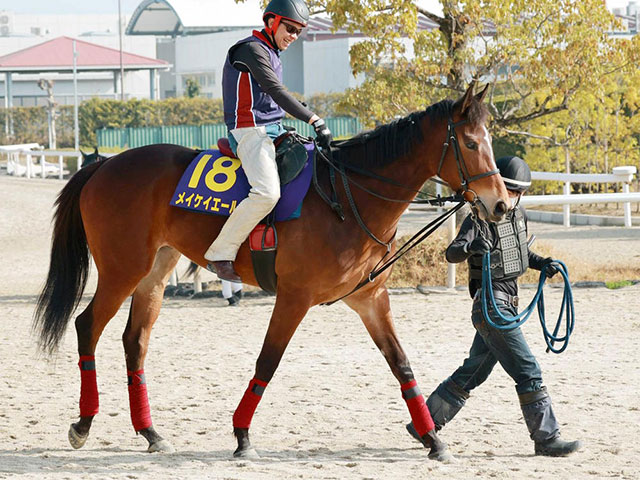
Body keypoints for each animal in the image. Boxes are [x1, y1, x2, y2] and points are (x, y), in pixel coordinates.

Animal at [35, 83, 508, 462]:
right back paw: (83, 424)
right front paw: (242, 436)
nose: (501, 203)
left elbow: (402, 366)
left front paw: (433, 439)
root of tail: (105, 165)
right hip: (122, 271)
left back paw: (150, 432)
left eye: (489, 140)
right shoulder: (294, 297)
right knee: (87, 326)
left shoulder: (370, 299)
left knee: (135, 342)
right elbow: (268, 360)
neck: (347, 196)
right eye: (470, 143)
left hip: (153, 274)